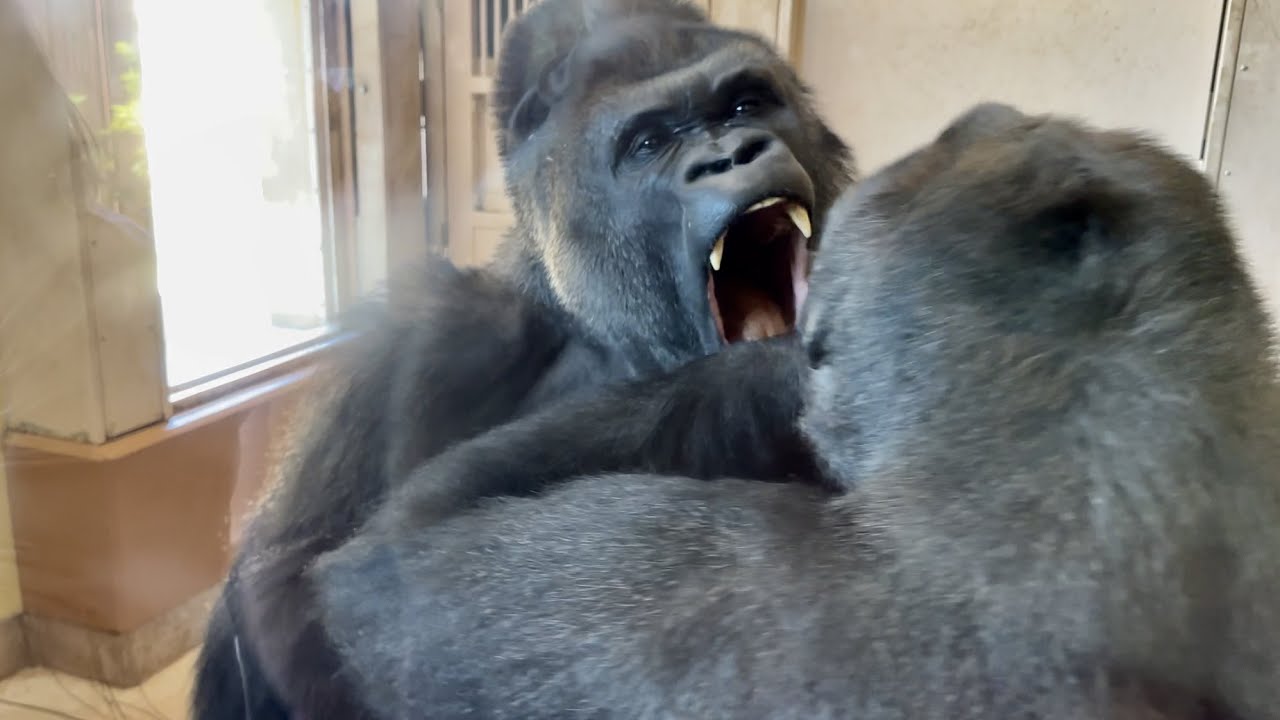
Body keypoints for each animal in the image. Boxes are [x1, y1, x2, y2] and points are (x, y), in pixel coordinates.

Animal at [191, 0, 856, 717]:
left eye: (745, 105)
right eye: (649, 144)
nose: (732, 155)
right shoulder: (426, 336)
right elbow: (302, 590)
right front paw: (788, 375)